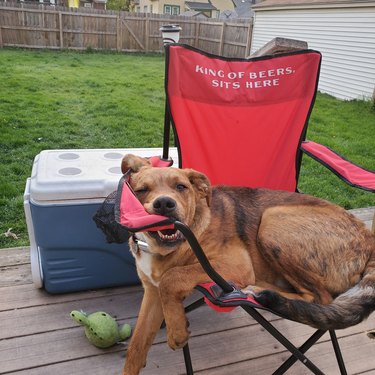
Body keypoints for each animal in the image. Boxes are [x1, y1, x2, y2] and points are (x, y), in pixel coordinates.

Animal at [122, 153, 375, 375]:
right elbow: (136, 346)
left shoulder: (235, 265)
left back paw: (258, 290)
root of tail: (368, 236)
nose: (164, 204)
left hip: (273, 221)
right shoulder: (152, 292)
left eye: (181, 187)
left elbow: (172, 276)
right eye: (141, 190)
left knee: (319, 297)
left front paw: (177, 332)